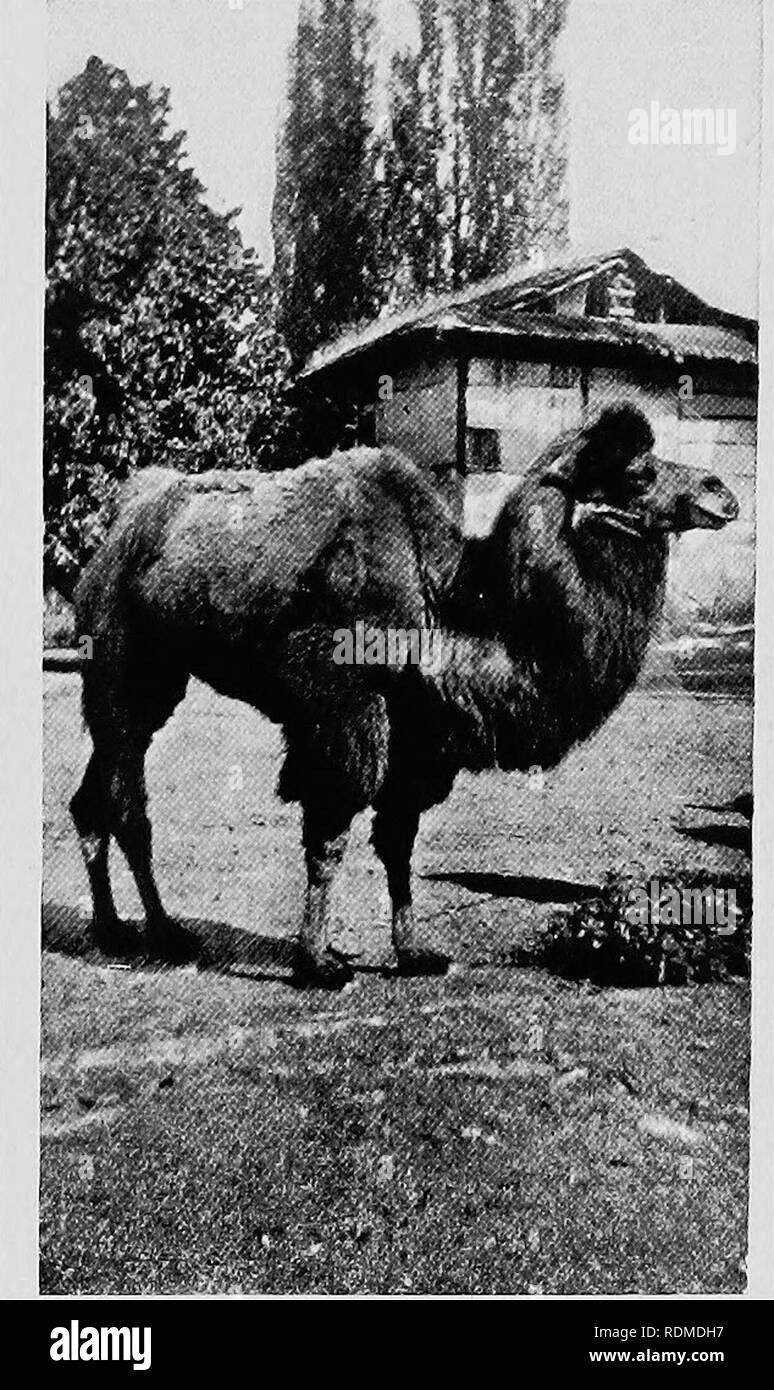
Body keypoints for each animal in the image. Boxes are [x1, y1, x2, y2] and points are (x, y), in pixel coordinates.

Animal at [70, 405, 733, 989]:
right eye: (638, 472)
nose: (720, 490)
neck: (450, 599)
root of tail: (117, 531)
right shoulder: (343, 707)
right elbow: (331, 835)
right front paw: (317, 964)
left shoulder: (420, 736)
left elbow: (398, 843)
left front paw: (413, 953)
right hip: (122, 654)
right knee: (128, 798)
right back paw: (164, 933)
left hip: (153, 677)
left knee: (92, 793)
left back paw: (111, 928)